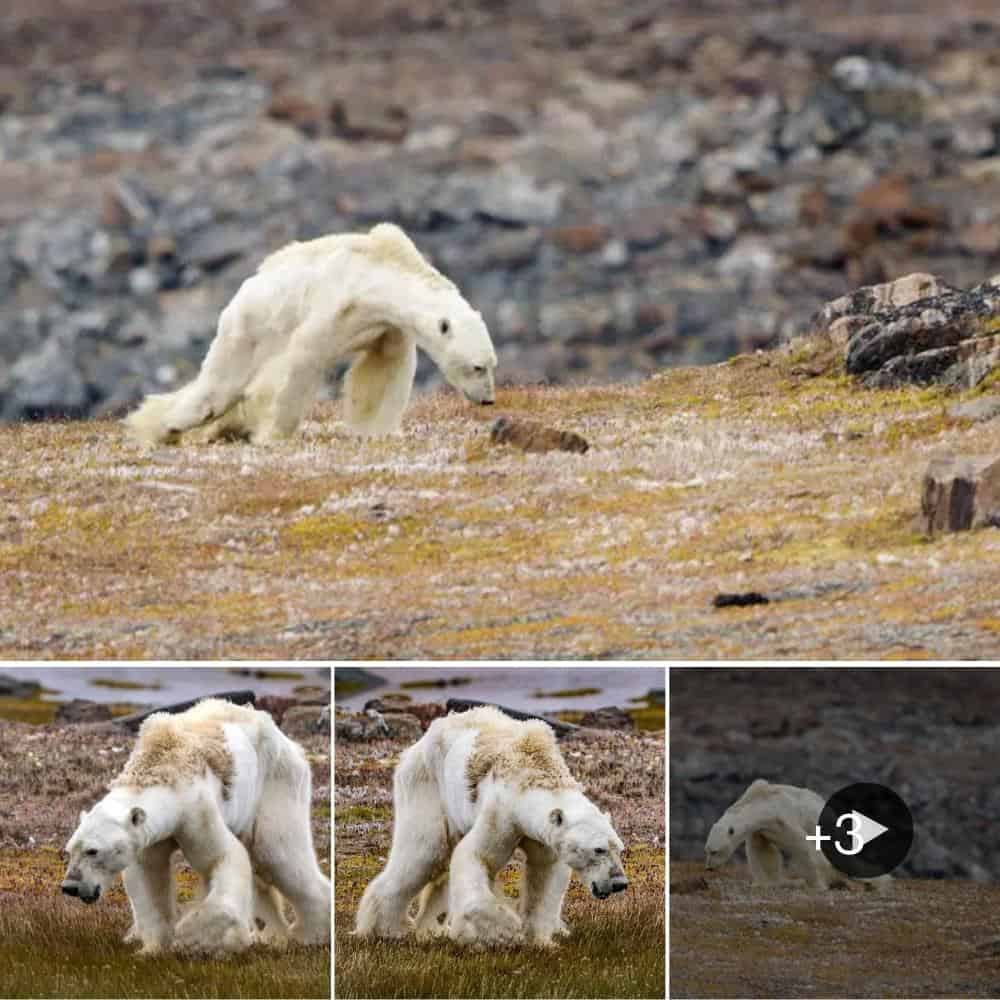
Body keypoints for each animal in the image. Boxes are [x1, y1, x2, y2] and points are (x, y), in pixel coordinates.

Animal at [60, 698, 331, 955]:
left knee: (278, 853)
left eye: (93, 851)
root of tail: (287, 741)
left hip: (274, 783)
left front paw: (192, 936)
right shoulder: (149, 837)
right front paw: (151, 948)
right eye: (70, 850)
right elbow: (148, 877)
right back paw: (272, 935)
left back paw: (308, 933)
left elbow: (222, 857)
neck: (161, 767)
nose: (70, 887)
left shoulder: (195, 811)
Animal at [124, 222, 498, 447]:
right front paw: (273, 433)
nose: (488, 399)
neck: (380, 274)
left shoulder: (385, 326)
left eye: (491, 364)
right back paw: (165, 426)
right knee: (219, 386)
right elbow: (301, 361)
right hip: (248, 326)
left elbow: (382, 372)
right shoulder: (334, 304)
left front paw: (375, 429)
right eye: (478, 366)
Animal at [354, 706, 629, 948]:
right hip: (427, 786)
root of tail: (417, 745)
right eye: (598, 849)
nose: (619, 883)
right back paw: (386, 929)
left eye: (619, 848)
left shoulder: (543, 836)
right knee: (424, 852)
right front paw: (505, 930)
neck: (533, 770)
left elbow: (545, 874)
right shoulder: (501, 813)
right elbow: (476, 857)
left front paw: (542, 940)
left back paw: (431, 929)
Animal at [704, 779, 891, 892]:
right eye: (707, 850)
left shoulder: (784, 819)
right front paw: (766, 883)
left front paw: (817, 885)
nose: (709, 868)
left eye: (714, 851)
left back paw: (872, 882)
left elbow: (803, 848)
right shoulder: (761, 830)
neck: (763, 803)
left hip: (827, 826)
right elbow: (763, 853)